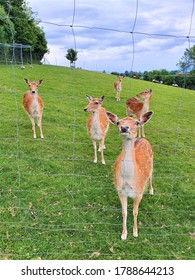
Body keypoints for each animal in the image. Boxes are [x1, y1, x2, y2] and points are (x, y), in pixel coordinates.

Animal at [105, 110, 154, 240]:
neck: (129, 180)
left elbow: (135, 212)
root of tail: (141, 138)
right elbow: (124, 212)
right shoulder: (120, 191)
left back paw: (151, 191)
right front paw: (123, 234)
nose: (124, 128)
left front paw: (135, 232)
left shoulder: (139, 192)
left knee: (151, 175)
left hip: (152, 162)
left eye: (136, 122)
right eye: (118, 122)